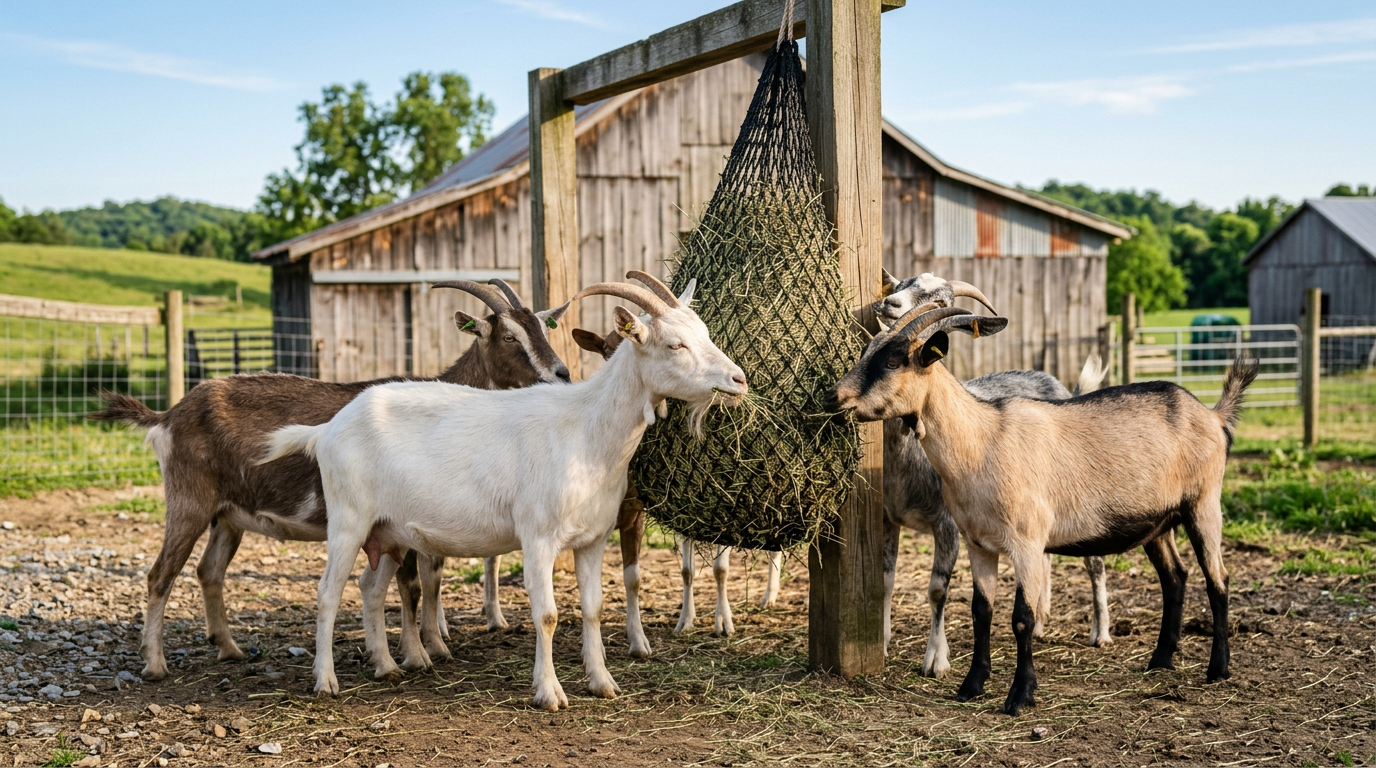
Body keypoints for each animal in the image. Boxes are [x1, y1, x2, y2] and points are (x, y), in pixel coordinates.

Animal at [89, 280, 569, 681]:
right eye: (508, 336)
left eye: (542, 329)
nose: (561, 374)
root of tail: (169, 414)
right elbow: (412, 586)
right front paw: (418, 654)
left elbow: (427, 580)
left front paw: (428, 646)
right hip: (189, 500)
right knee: (161, 574)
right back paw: (155, 663)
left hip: (227, 514)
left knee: (209, 571)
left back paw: (229, 648)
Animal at [258, 272, 747, 709]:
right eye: (675, 345)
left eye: (703, 333)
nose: (739, 380)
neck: (586, 430)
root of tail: (327, 430)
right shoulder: (538, 537)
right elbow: (547, 614)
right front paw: (549, 693)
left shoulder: (593, 539)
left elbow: (591, 608)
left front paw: (602, 682)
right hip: (348, 519)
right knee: (328, 592)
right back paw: (326, 681)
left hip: (388, 531)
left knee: (370, 587)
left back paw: (387, 666)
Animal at [828, 302, 1258, 714]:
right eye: (867, 351)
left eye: (893, 361)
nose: (835, 398)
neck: (981, 440)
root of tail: (1212, 414)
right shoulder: (978, 543)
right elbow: (981, 611)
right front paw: (970, 686)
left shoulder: (1028, 543)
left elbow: (1022, 618)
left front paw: (1020, 696)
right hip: (1158, 522)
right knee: (1175, 577)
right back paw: (1160, 660)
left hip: (1204, 504)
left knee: (1217, 579)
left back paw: (1217, 669)